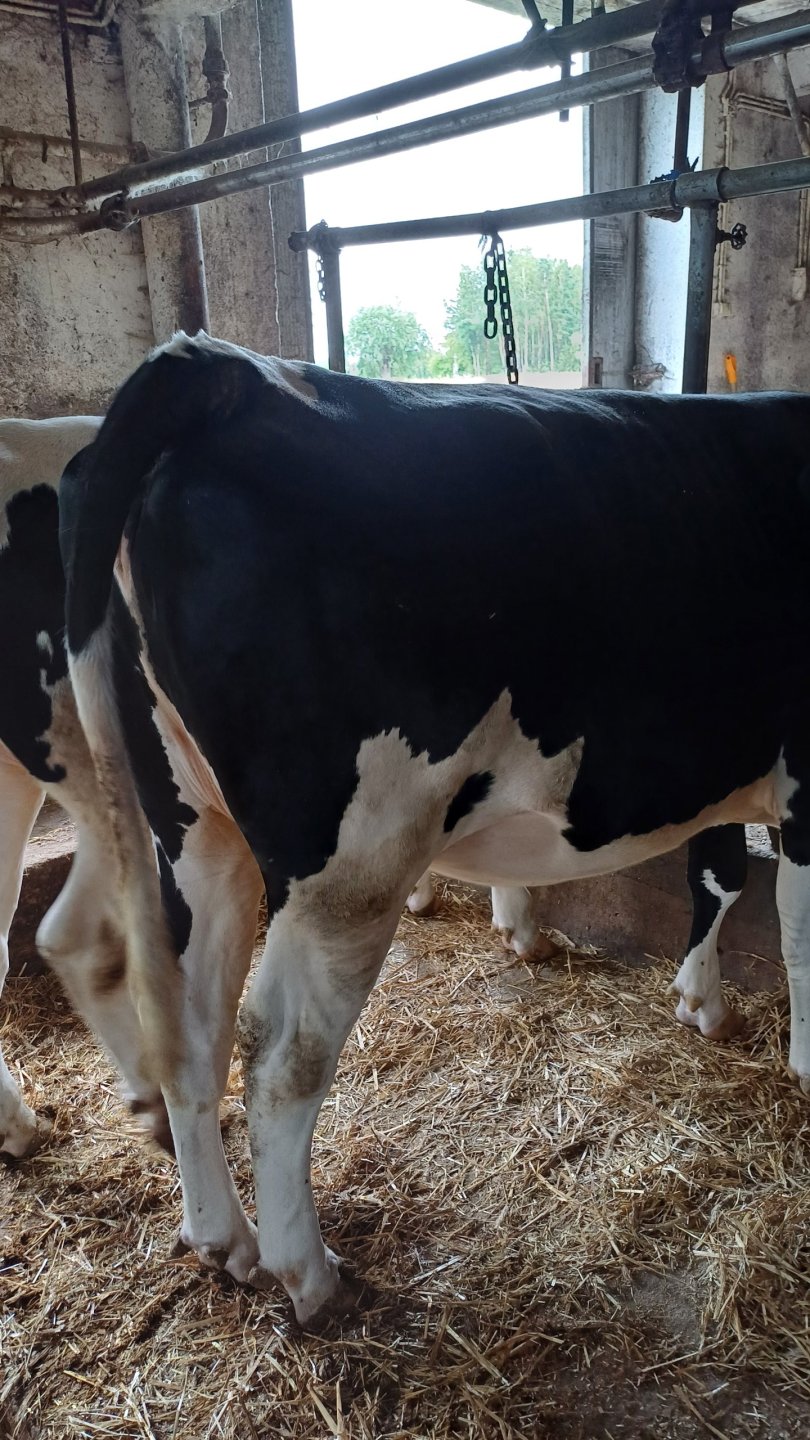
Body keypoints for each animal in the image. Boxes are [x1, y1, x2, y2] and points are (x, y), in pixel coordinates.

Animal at [59, 332, 810, 1327]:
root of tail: (219, 369)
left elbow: (718, 871)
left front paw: (703, 1003)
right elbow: (794, 926)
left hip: (190, 825)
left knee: (188, 1019)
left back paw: (223, 1239)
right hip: (355, 857)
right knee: (280, 1055)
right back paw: (308, 1274)